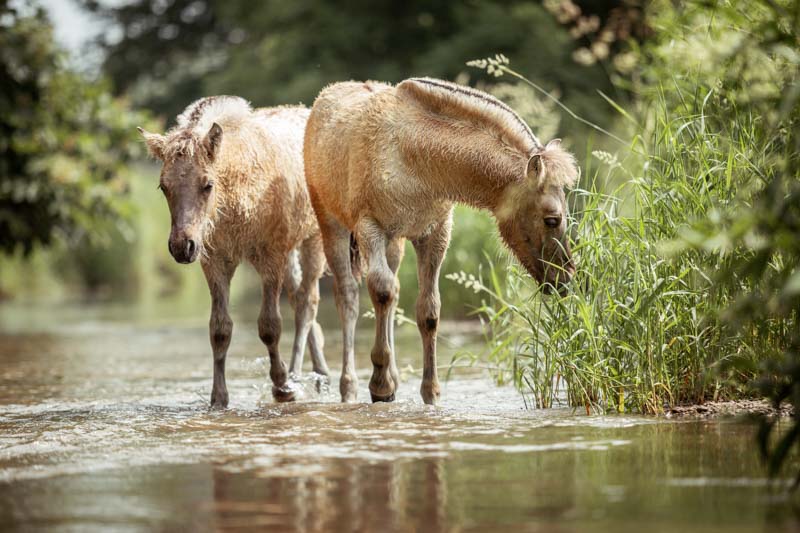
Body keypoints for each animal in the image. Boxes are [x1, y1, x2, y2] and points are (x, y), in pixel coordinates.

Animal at [139, 95, 326, 406]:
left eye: (207, 184)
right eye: (163, 186)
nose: (181, 246)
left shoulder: (270, 256)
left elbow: (270, 326)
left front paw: (282, 385)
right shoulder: (216, 261)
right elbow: (220, 329)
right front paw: (218, 397)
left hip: (313, 239)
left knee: (306, 303)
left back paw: (299, 376)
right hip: (291, 251)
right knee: (301, 298)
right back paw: (320, 372)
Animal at [304, 78, 580, 404]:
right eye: (552, 219)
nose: (565, 278)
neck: (412, 155)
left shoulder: (433, 233)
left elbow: (429, 310)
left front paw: (430, 391)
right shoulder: (370, 227)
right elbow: (381, 291)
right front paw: (380, 386)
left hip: (395, 243)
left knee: (394, 292)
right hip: (332, 227)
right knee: (348, 297)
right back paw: (350, 386)